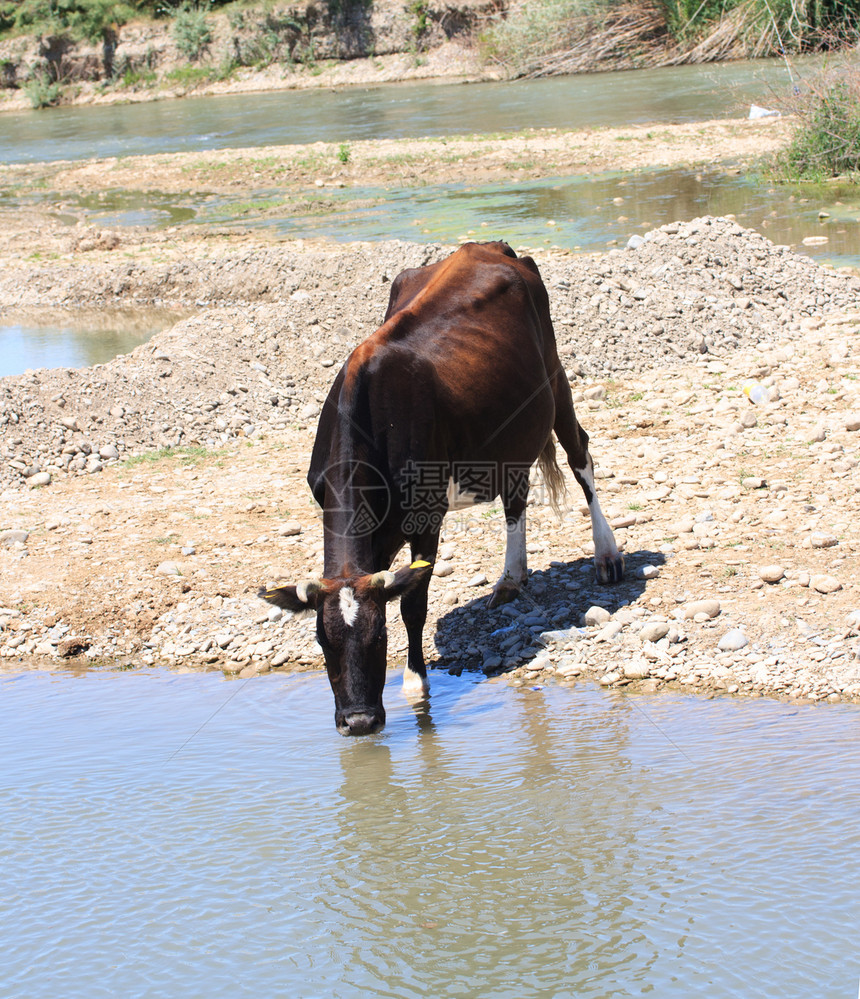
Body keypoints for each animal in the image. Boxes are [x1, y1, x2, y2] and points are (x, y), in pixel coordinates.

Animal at [258, 242, 620, 736]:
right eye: (321, 640)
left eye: (379, 637)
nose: (359, 721)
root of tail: (490, 247)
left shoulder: (425, 515)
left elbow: (413, 602)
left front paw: (416, 683)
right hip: (509, 428)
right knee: (516, 494)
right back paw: (511, 578)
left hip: (555, 376)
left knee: (580, 455)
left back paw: (607, 555)